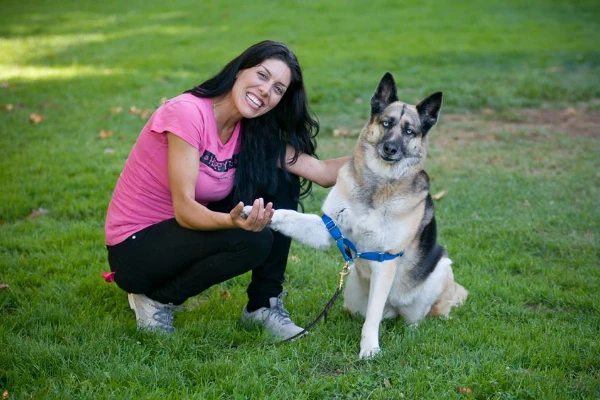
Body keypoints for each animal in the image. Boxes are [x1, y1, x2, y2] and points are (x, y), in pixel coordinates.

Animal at [246, 72, 466, 360]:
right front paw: (253, 212)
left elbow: (372, 316)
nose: (390, 148)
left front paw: (369, 347)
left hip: (440, 269)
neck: (377, 185)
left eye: (409, 131)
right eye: (386, 123)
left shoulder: (385, 260)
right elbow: (287, 215)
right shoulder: (327, 229)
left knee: (423, 313)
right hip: (353, 298)